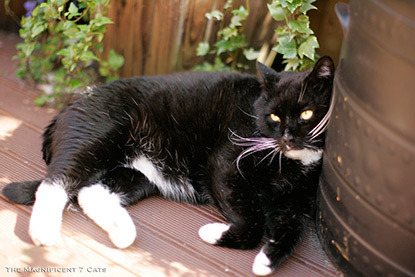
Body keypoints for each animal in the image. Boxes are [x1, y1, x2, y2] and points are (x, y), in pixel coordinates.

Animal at [2, 56, 334, 274]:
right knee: (56, 183)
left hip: (137, 175)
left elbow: (290, 233)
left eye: (306, 114)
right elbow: (252, 221)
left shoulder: (296, 204)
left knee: (89, 192)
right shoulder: (225, 164)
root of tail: (68, 107)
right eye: (274, 116)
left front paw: (265, 263)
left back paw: (123, 233)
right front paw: (214, 234)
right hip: (94, 139)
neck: (292, 164)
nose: (287, 137)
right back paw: (43, 233)